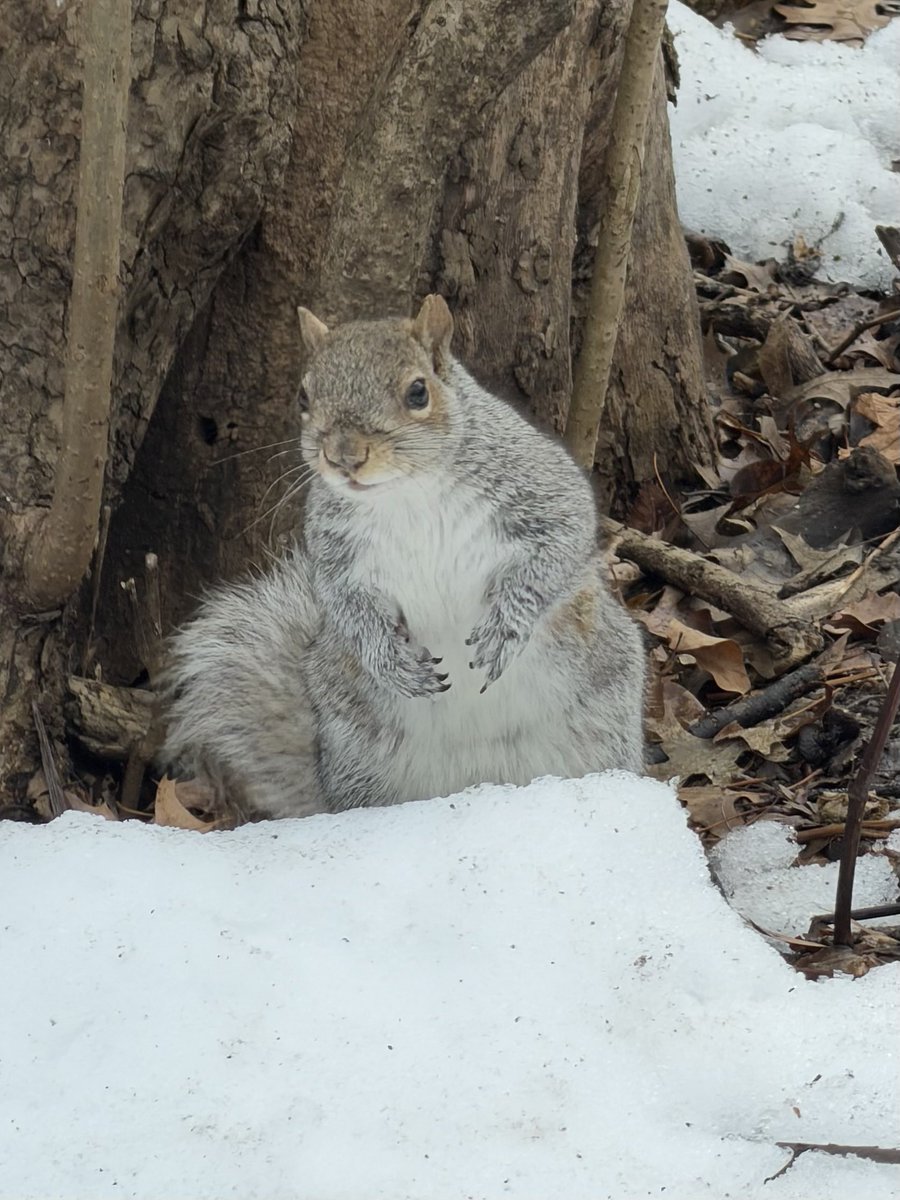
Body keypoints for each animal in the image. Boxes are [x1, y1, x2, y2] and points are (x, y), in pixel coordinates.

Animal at [161, 295, 645, 818]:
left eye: (418, 392)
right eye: (303, 397)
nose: (344, 456)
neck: (407, 492)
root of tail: (476, 785)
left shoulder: (542, 492)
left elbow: (558, 546)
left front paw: (505, 627)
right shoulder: (337, 556)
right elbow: (347, 605)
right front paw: (391, 661)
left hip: (601, 725)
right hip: (360, 756)